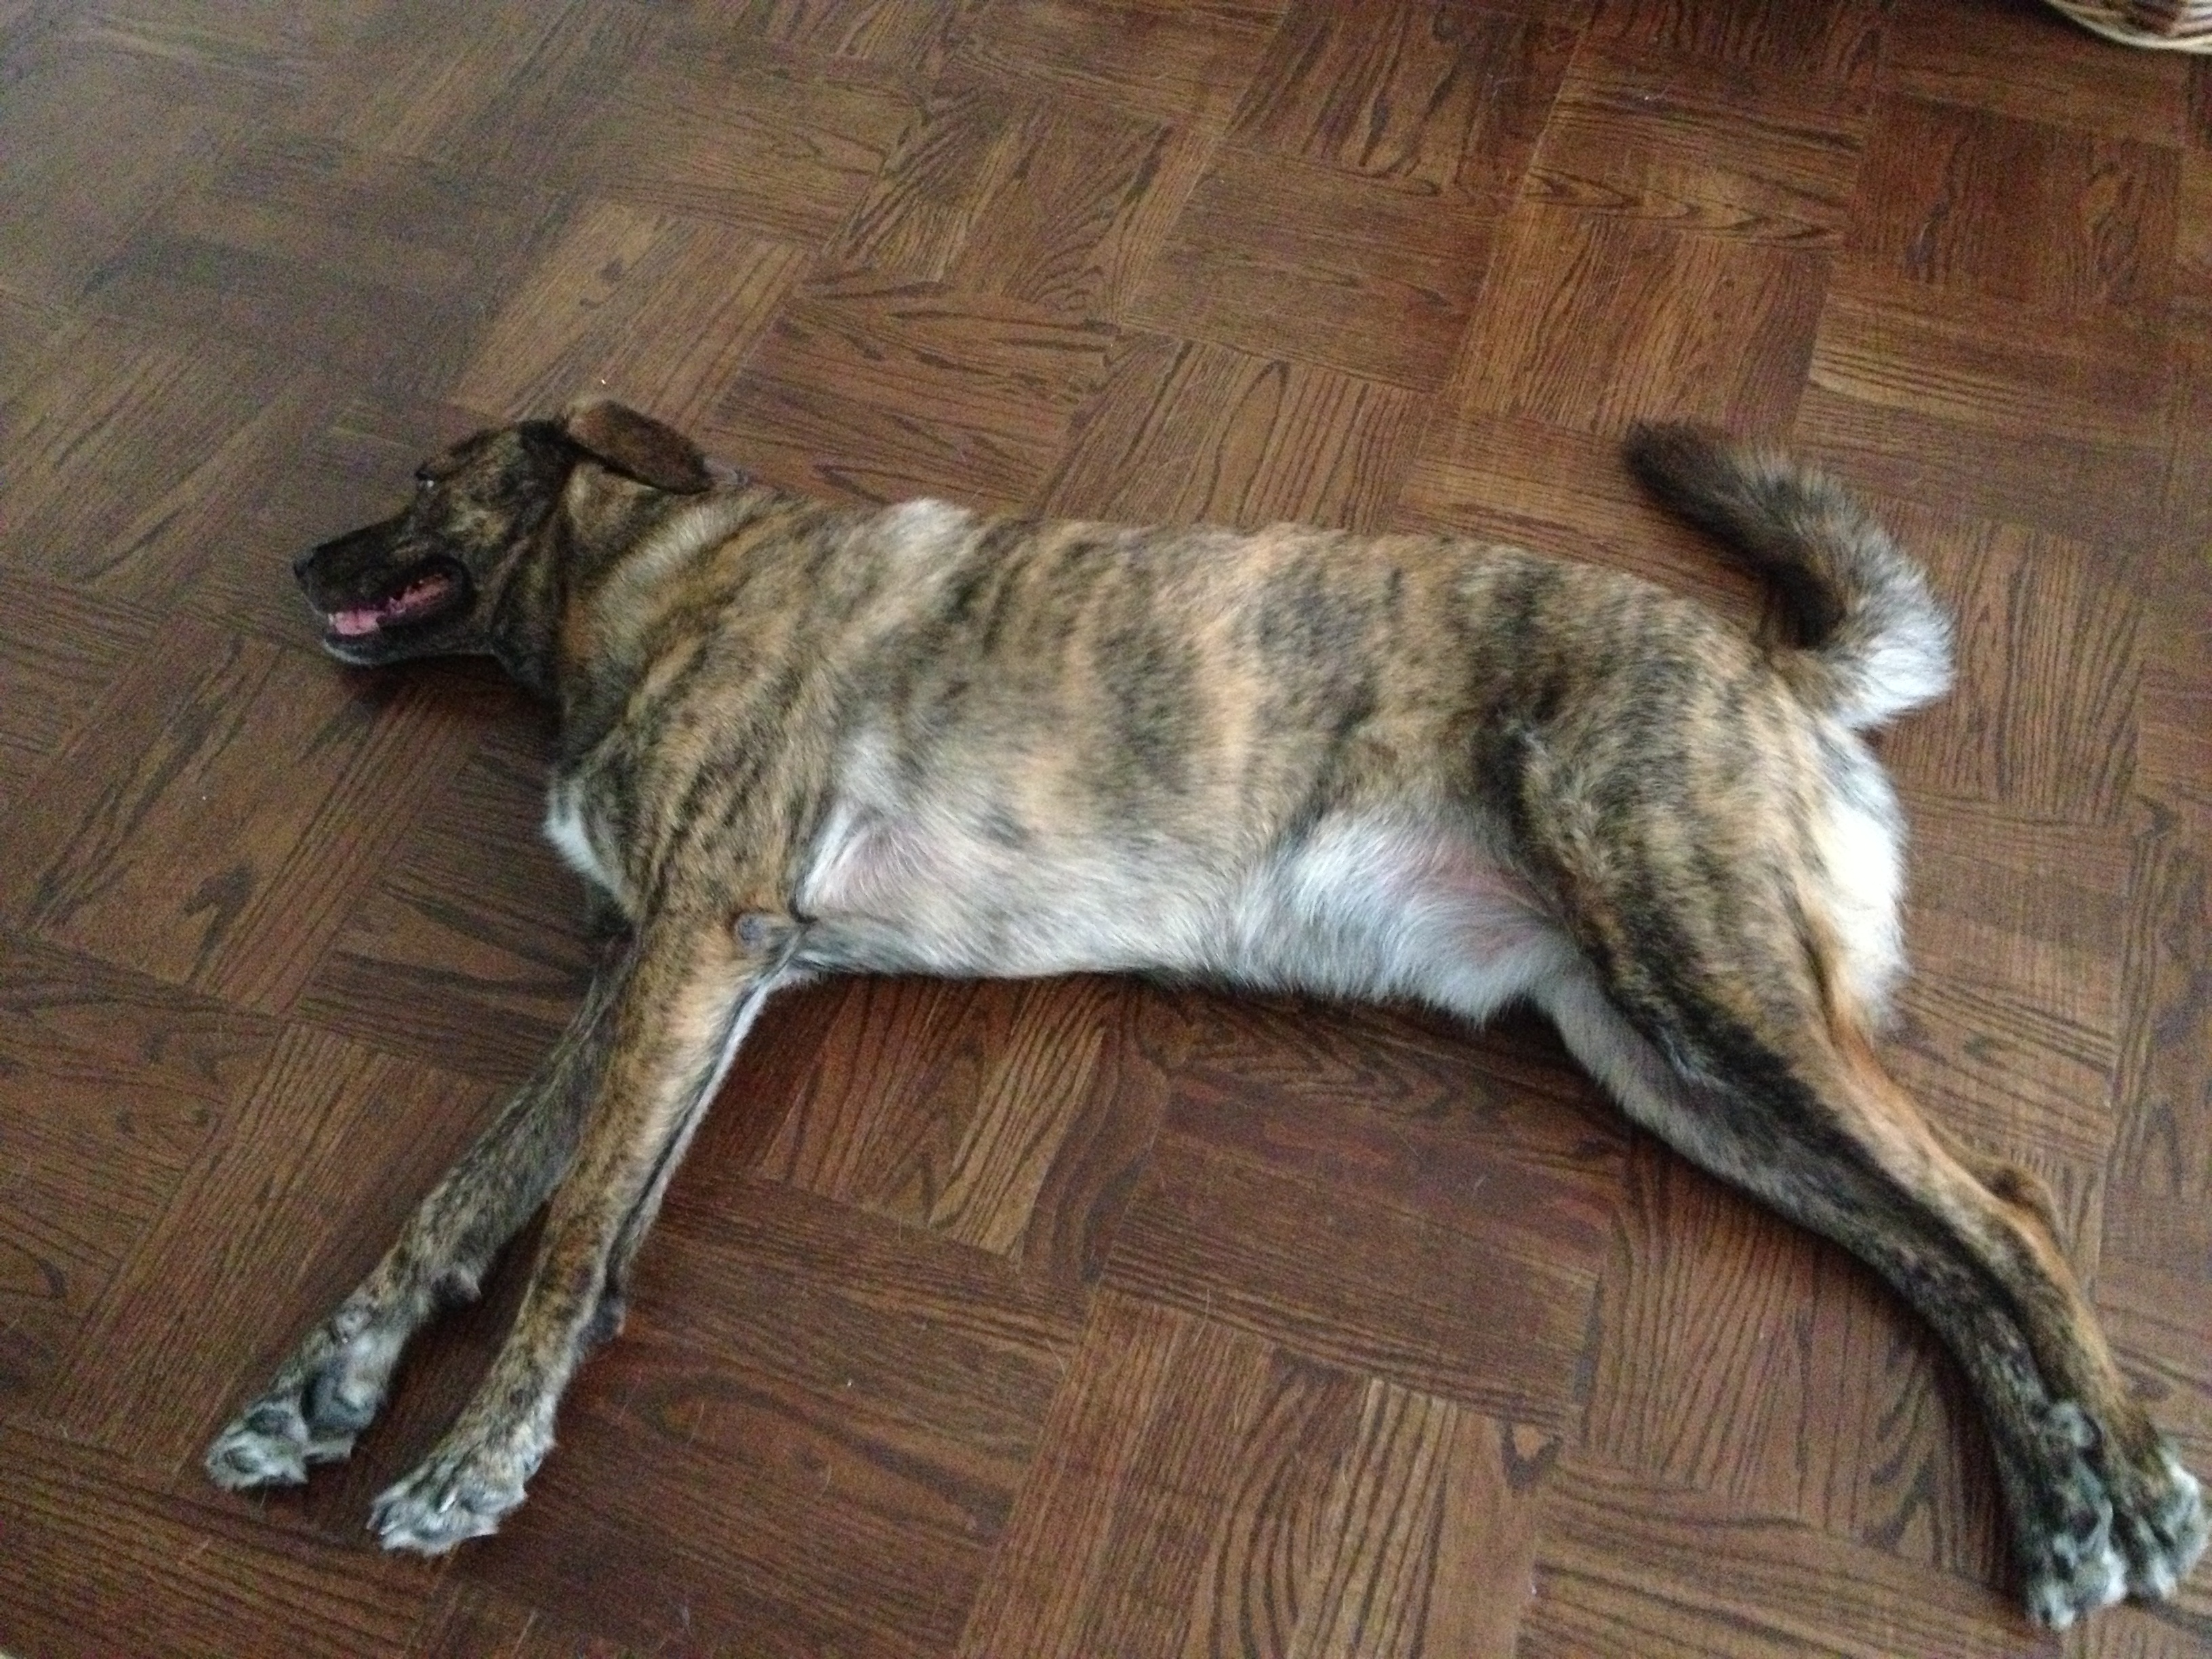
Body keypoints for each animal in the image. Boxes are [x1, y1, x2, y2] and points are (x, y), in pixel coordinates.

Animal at [205, 400, 2204, 1629]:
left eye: (428, 479)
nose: (295, 565)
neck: (647, 580)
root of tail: (1770, 667)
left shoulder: (697, 942)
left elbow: (562, 1247)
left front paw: (474, 1458)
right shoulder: (662, 974)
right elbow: (472, 1198)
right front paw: (321, 1388)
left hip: (1706, 979)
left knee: (2006, 1211)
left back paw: (2136, 1483)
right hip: (1668, 1057)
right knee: (1930, 1245)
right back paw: (2062, 1503)